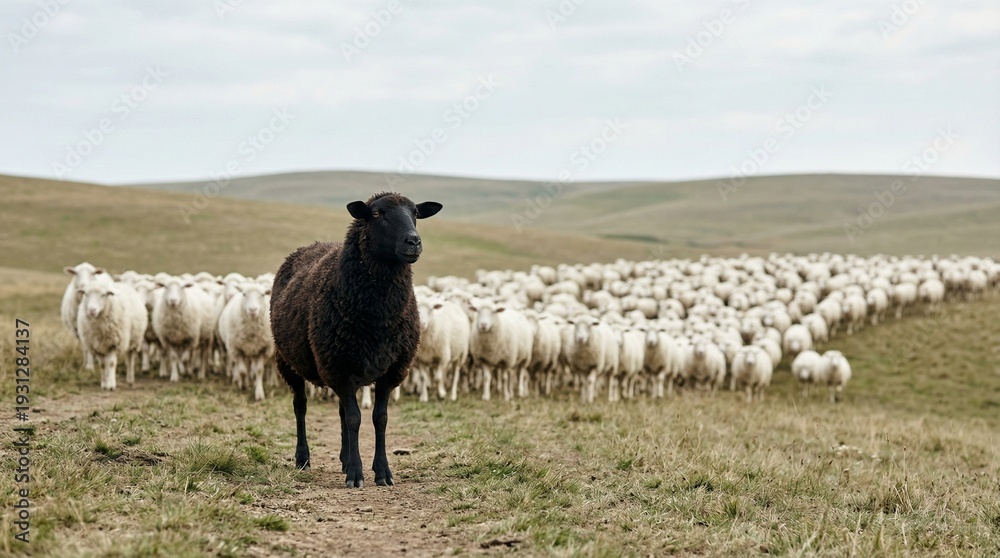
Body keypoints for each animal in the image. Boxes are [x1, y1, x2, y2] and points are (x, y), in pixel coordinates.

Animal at [270, 192, 442, 487]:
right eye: (376, 214)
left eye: (416, 214)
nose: (414, 241)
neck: (379, 317)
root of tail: (311, 246)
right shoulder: (339, 366)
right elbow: (354, 418)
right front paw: (356, 473)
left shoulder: (390, 369)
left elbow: (379, 418)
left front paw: (382, 471)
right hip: (290, 361)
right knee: (300, 406)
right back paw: (303, 459)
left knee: (340, 410)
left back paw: (343, 456)